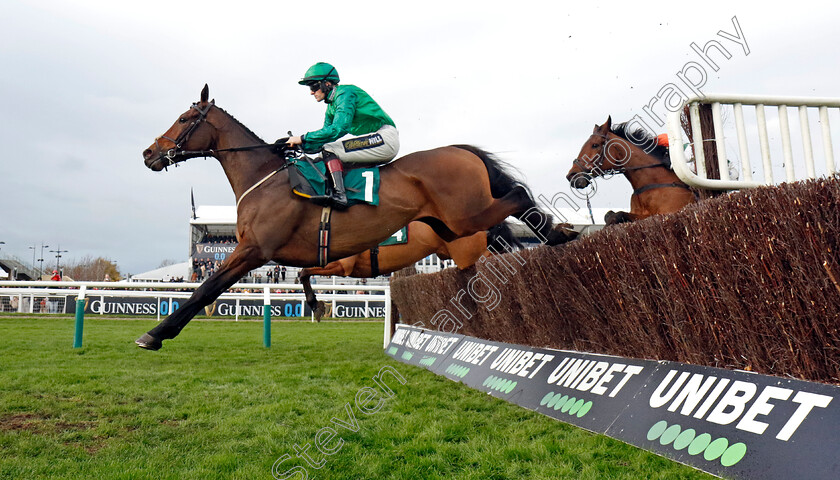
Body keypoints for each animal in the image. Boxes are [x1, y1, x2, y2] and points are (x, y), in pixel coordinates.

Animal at [296, 222, 520, 320]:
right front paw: (316, 305)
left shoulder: (344, 265)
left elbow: (303, 272)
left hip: (469, 255)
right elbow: (303, 272)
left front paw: (315, 304)